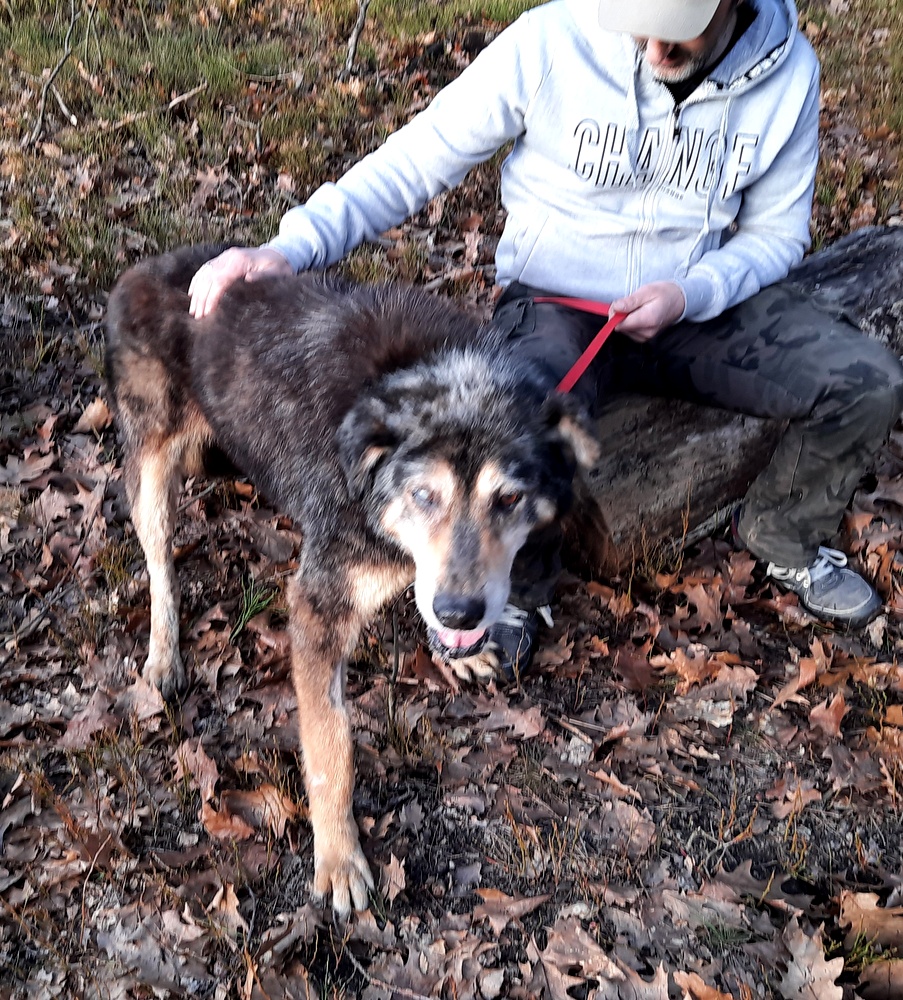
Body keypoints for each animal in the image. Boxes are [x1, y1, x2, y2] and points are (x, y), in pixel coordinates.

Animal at [105, 244, 599, 916]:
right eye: (425, 495)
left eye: (509, 499)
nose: (462, 613)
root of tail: (144, 268)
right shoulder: (318, 607)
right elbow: (329, 748)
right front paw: (338, 858)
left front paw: (460, 650)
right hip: (152, 469)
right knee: (159, 564)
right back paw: (162, 654)